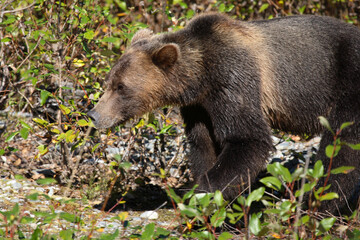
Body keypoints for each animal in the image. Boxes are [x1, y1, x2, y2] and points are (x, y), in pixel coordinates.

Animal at [88, 12, 360, 212]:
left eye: (121, 87)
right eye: (108, 81)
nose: (93, 115)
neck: (201, 76)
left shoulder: (234, 80)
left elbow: (247, 138)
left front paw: (199, 196)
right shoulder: (199, 106)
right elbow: (204, 144)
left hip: (347, 82)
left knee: (341, 146)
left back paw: (321, 203)